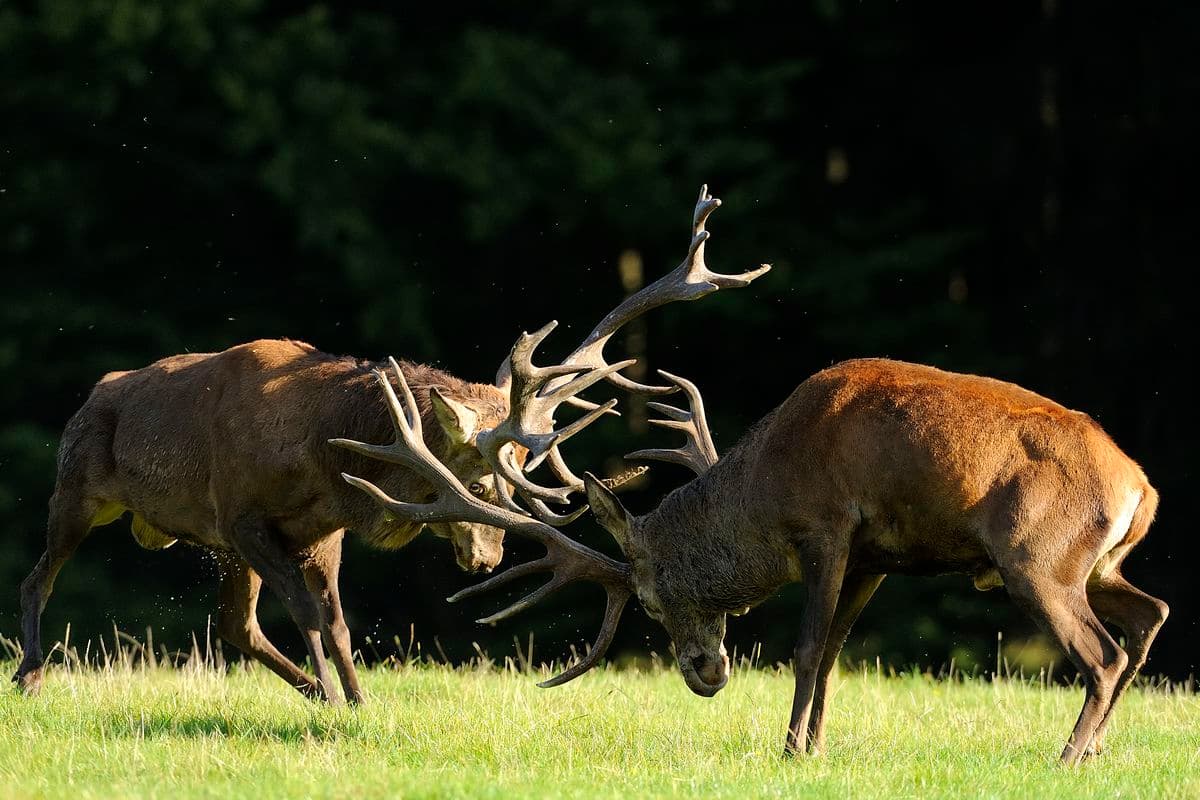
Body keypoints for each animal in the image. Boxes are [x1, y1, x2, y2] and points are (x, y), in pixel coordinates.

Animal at [343, 189, 1166, 767]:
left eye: (647, 597)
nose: (704, 674)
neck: (765, 483)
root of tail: (1141, 489)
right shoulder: (876, 555)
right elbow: (831, 653)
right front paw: (811, 746)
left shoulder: (827, 526)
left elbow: (805, 648)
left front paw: (787, 748)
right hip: (1098, 564)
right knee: (1147, 616)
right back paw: (1096, 748)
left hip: (1038, 554)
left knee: (1102, 652)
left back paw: (1068, 756)